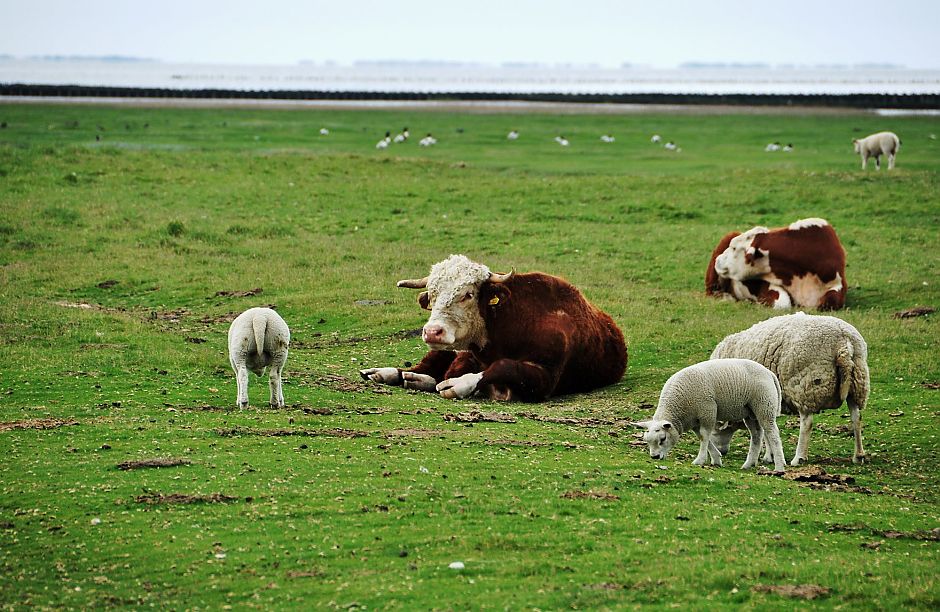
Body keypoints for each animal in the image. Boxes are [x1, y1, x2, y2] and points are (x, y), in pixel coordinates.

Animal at [358, 253, 624, 402]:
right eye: (432, 295)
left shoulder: (545, 375)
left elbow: (503, 366)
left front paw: (459, 384)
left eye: (468, 294)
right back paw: (388, 373)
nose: (433, 331)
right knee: (427, 366)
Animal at [632, 358, 784, 474]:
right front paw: (716, 459)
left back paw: (779, 466)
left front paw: (700, 460)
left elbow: (705, 436)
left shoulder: (707, 411)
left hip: (765, 405)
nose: (655, 457)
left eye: (662, 439)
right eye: (646, 440)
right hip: (750, 412)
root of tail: (769, 373)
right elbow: (701, 436)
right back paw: (748, 464)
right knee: (756, 435)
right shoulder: (694, 420)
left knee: (772, 434)